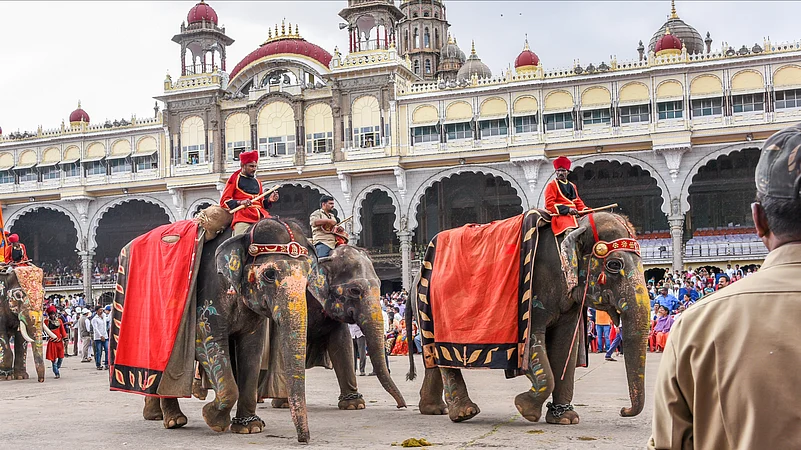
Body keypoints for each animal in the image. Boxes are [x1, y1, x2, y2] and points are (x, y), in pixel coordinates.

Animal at [122, 218, 320, 442]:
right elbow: (207, 342)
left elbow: (252, 350)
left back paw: (155, 415)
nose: (304, 439)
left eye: (308, 277)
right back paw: (174, 420)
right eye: (270, 274)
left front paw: (250, 427)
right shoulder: (209, 293)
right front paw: (213, 418)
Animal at [259, 245, 407, 410]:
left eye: (380, 285)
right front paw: (284, 403)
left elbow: (342, 342)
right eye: (355, 290)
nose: (401, 406)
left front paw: (354, 405)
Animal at [407, 212, 650, 425]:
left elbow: (564, 346)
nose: (623, 411)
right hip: (432, 304)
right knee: (442, 356)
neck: (572, 224)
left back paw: (434, 410)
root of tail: (415, 279)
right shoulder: (534, 291)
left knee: (434, 357)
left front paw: (565, 419)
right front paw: (525, 408)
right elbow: (535, 340)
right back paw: (464, 413)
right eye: (614, 265)